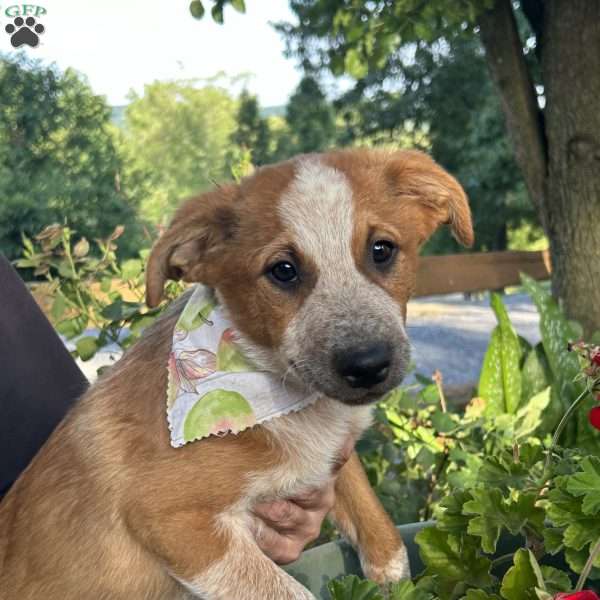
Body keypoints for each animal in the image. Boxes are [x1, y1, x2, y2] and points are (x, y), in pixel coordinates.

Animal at [0, 148, 472, 596]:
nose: (368, 364)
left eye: (382, 249)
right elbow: (289, 592)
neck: (280, 396)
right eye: (283, 270)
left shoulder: (330, 458)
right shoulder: (173, 520)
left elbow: (382, 533)